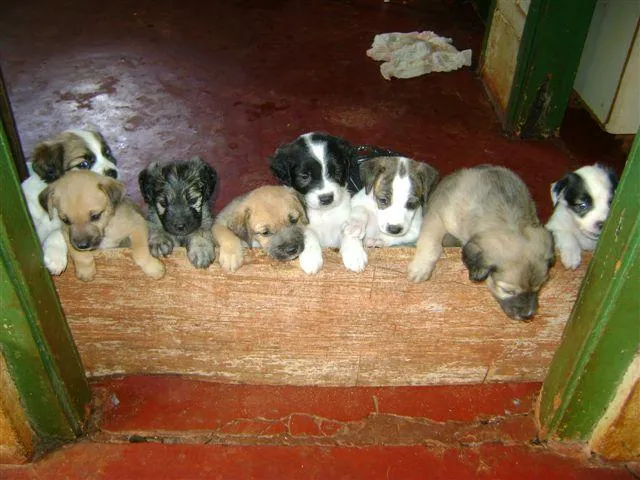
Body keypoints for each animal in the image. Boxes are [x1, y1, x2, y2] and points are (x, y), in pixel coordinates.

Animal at [270, 131, 368, 274]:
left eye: (337, 171)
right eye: (304, 176)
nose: (326, 198)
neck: (324, 213)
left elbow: (348, 230)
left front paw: (354, 254)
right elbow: (309, 234)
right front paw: (311, 258)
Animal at [410, 166, 556, 322]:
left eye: (540, 287)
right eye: (508, 291)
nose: (528, 316)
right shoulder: (437, 216)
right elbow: (431, 243)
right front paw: (421, 267)